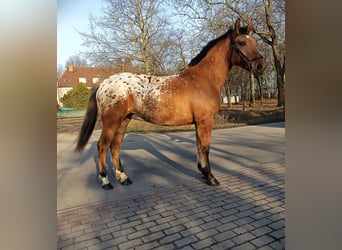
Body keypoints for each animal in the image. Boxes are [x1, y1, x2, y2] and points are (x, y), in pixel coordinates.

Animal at [76, 18, 266, 189]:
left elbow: (199, 147)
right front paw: (211, 177)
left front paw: (203, 173)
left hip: (124, 120)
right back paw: (105, 181)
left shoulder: (199, 122)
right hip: (111, 121)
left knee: (115, 146)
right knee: (102, 146)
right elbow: (205, 147)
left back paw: (123, 178)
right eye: (241, 42)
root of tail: (104, 83)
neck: (204, 78)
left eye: (255, 41)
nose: (260, 66)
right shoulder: (205, 121)